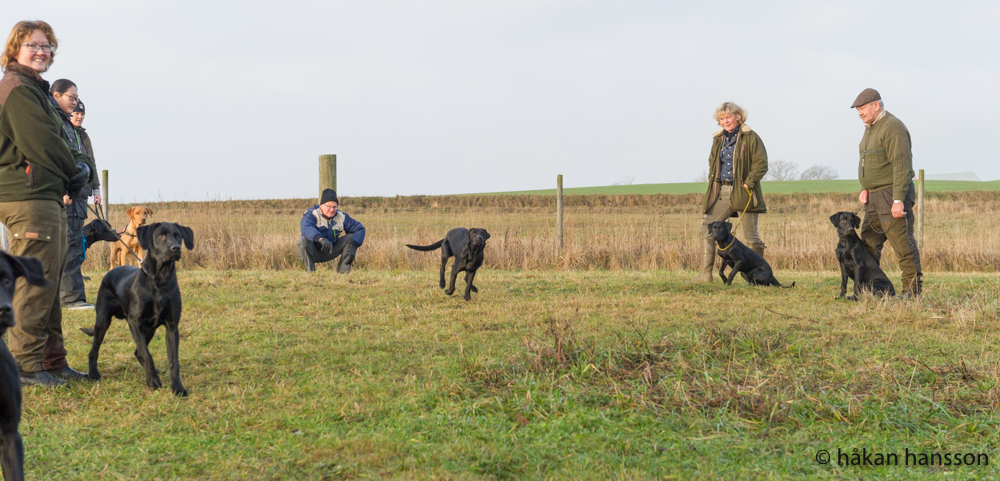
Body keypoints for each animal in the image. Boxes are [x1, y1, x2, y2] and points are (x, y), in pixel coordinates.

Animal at [86, 222, 193, 396]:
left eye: (178, 236)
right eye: (160, 236)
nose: (175, 248)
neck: (160, 280)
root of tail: (111, 271)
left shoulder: (172, 327)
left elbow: (173, 361)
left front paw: (177, 387)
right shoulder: (134, 322)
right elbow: (147, 354)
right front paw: (153, 382)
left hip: (149, 329)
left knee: (138, 352)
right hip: (103, 321)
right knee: (94, 350)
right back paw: (93, 374)